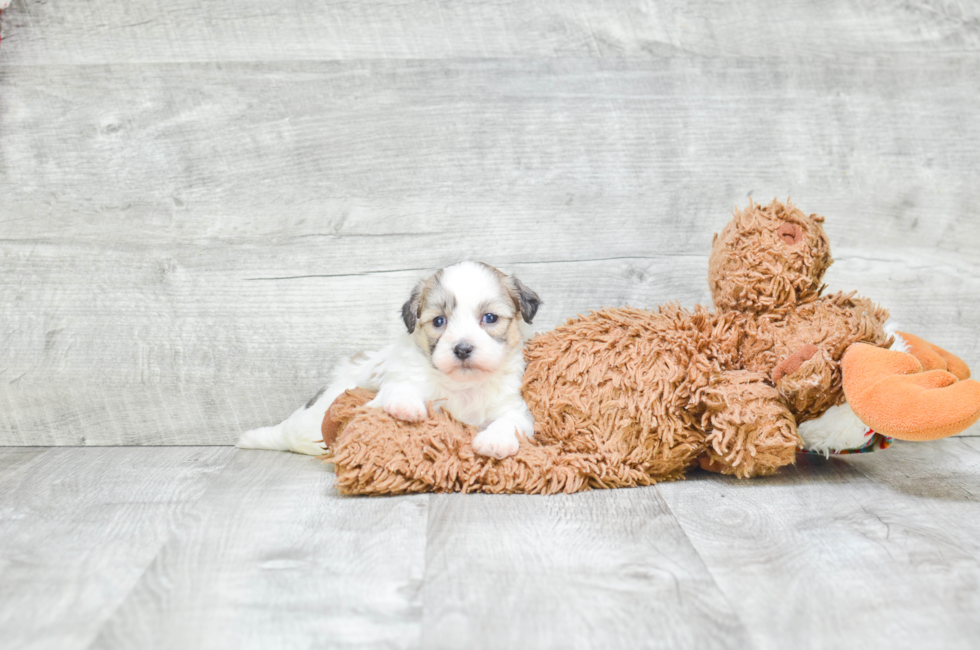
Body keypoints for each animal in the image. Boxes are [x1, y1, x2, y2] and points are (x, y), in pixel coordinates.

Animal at [237, 260, 544, 458]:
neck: (463, 386)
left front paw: (494, 441)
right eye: (439, 321)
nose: (462, 349)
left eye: (490, 318)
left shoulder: (515, 408)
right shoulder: (400, 377)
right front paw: (407, 407)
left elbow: (510, 421)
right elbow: (399, 388)